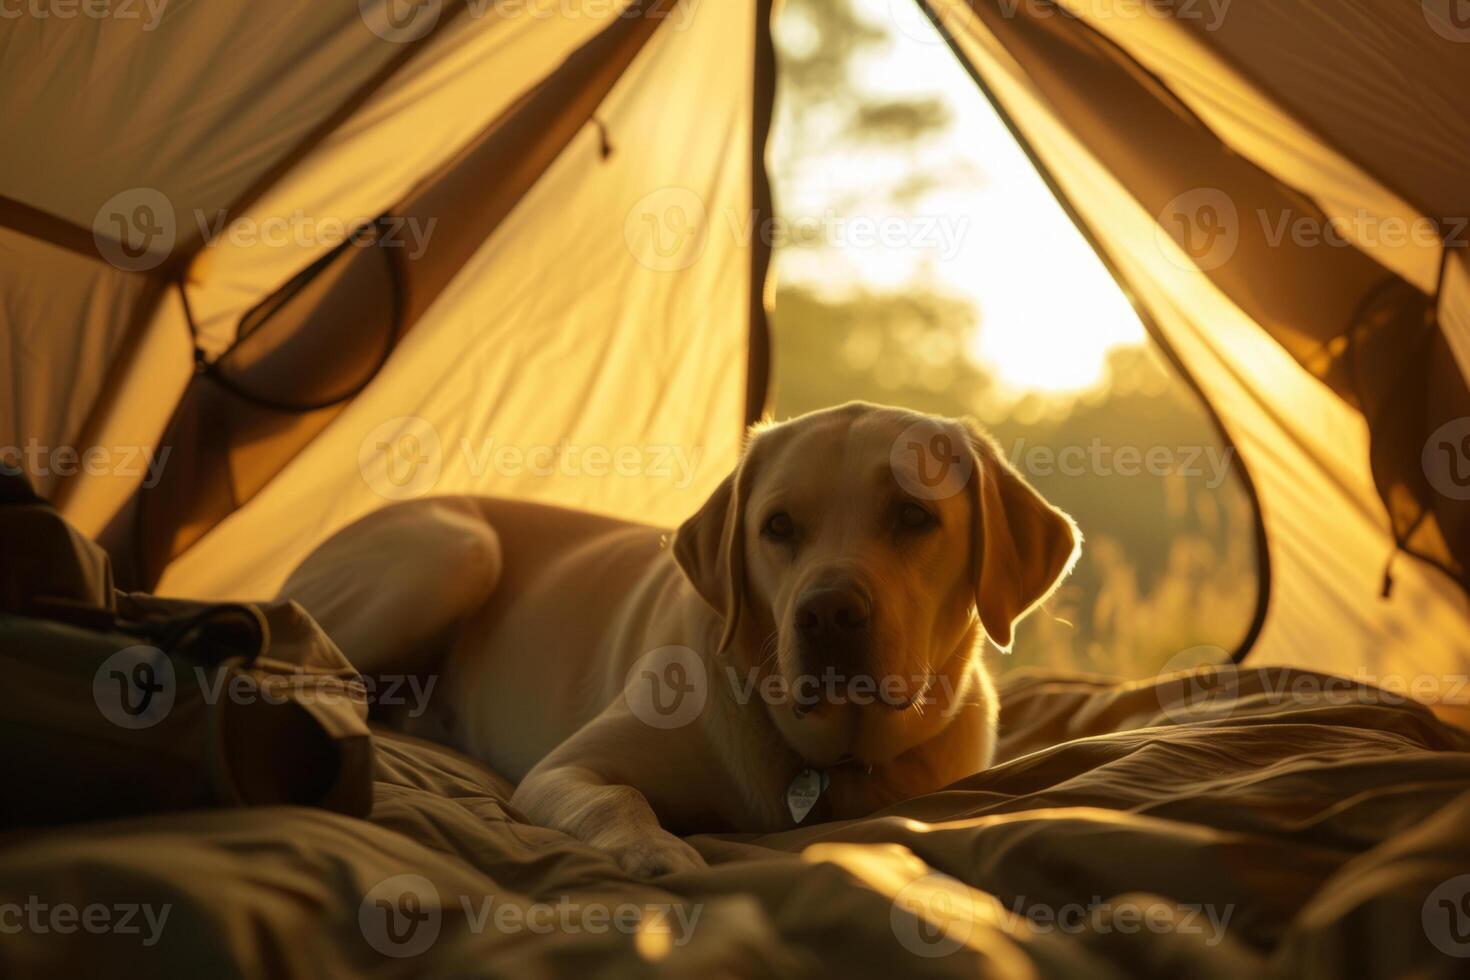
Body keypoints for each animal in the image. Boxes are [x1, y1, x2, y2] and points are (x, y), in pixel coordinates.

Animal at [280, 402, 1081, 875]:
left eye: (916, 517)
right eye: (778, 527)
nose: (828, 614)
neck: (822, 758)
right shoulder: (565, 769)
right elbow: (618, 801)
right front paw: (659, 851)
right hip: (452, 551)